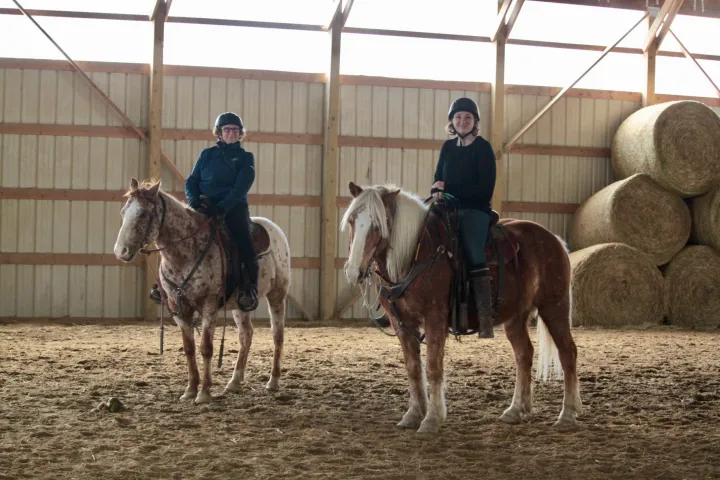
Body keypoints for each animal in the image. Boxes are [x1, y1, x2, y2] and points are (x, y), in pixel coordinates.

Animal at [113, 178, 292, 404]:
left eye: (143, 213)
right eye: (123, 212)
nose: (120, 252)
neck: (185, 254)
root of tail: (274, 228)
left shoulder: (209, 304)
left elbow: (206, 347)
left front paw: (204, 392)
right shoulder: (178, 307)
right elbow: (189, 348)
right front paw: (190, 389)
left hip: (277, 294)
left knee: (277, 334)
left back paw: (273, 381)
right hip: (240, 305)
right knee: (246, 335)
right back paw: (234, 382)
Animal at [340, 181, 581, 434]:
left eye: (378, 224)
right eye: (352, 221)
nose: (354, 271)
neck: (417, 254)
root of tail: (555, 240)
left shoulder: (435, 318)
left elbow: (433, 367)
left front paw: (432, 419)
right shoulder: (402, 324)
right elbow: (413, 369)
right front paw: (413, 414)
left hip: (554, 307)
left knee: (568, 352)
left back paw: (567, 414)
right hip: (516, 316)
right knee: (524, 354)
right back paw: (515, 410)